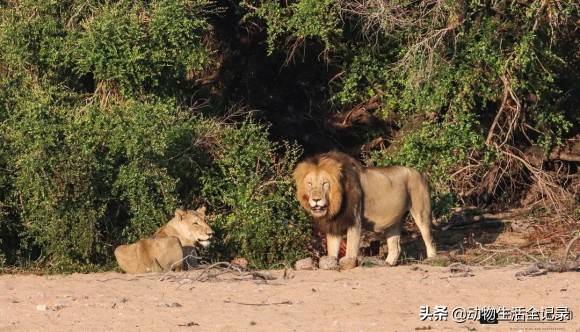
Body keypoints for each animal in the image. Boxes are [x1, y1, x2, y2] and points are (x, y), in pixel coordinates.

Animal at [294, 152, 436, 268]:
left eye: (325, 183)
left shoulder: (354, 219)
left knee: (430, 239)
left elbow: (351, 246)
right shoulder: (335, 224)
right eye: (309, 184)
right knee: (395, 248)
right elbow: (332, 248)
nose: (316, 200)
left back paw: (432, 260)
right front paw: (330, 262)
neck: (336, 204)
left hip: (421, 212)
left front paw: (348, 262)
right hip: (394, 222)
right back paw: (386, 264)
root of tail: (420, 173)